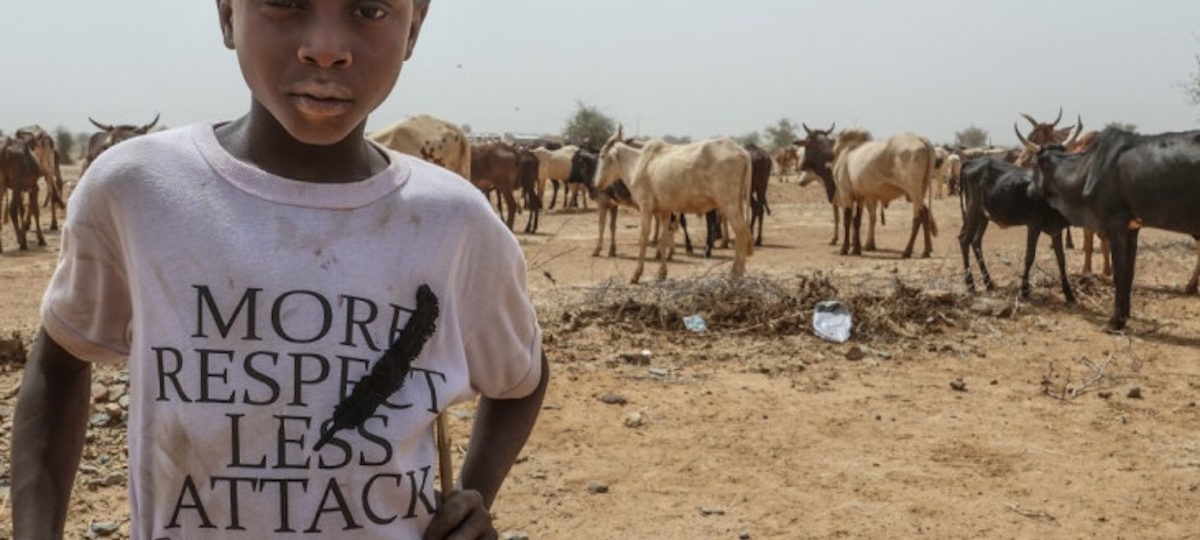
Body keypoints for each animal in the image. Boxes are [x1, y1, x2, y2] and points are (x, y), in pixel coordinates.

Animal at [595, 128, 753, 284]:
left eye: (602, 156)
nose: (597, 183)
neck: (637, 164)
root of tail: (740, 151)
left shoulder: (646, 208)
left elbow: (643, 237)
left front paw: (636, 274)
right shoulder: (665, 211)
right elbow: (663, 239)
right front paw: (662, 273)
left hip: (728, 204)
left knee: (741, 232)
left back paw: (735, 273)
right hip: (738, 202)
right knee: (744, 232)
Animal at [835, 129, 936, 258]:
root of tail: (920, 139)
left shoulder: (846, 194)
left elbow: (847, 220)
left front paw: (844, 248)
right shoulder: (860, 197)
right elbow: (856, 220)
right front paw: (856, 249)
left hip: (914, 190)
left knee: (920, 215)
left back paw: (908, 251)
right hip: (921, 190)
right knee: (923, 214)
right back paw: (924, 250)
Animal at [955, 156, 1080, 303]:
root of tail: (972, 162)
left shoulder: (1056, 230)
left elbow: (1061, 259)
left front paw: (1069, 294)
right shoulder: (1034, 226)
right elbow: (1029, 256)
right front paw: (1024, 290)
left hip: (983, 216)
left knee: (975, 242)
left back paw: (989, 283)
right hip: (972, 211)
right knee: (964, 240)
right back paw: (970, 284)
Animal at [1017, 125, 1200, 328]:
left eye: (1034, 163)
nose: (1029, 191)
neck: (1089, 168)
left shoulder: (1115, 225)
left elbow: (1119, 271)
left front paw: (1116, 320)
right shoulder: (1132, 228)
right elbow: (1129, 271)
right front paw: (1125, 315)